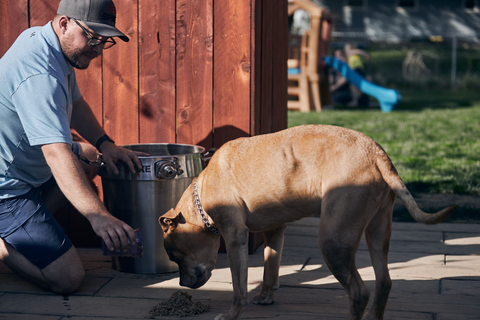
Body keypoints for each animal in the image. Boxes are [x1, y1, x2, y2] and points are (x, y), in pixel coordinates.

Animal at [159, 125, 456, 320]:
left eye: (175, 255)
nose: (182, 284)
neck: (200, 193)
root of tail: (376, 153)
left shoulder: (235, 238)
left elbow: (238, 288)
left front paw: (232, 314)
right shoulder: (274, 232)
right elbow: (270, 268)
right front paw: (266, 296)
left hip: (334, 243)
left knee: (359, 293)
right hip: (377, 233)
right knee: (383, 283)